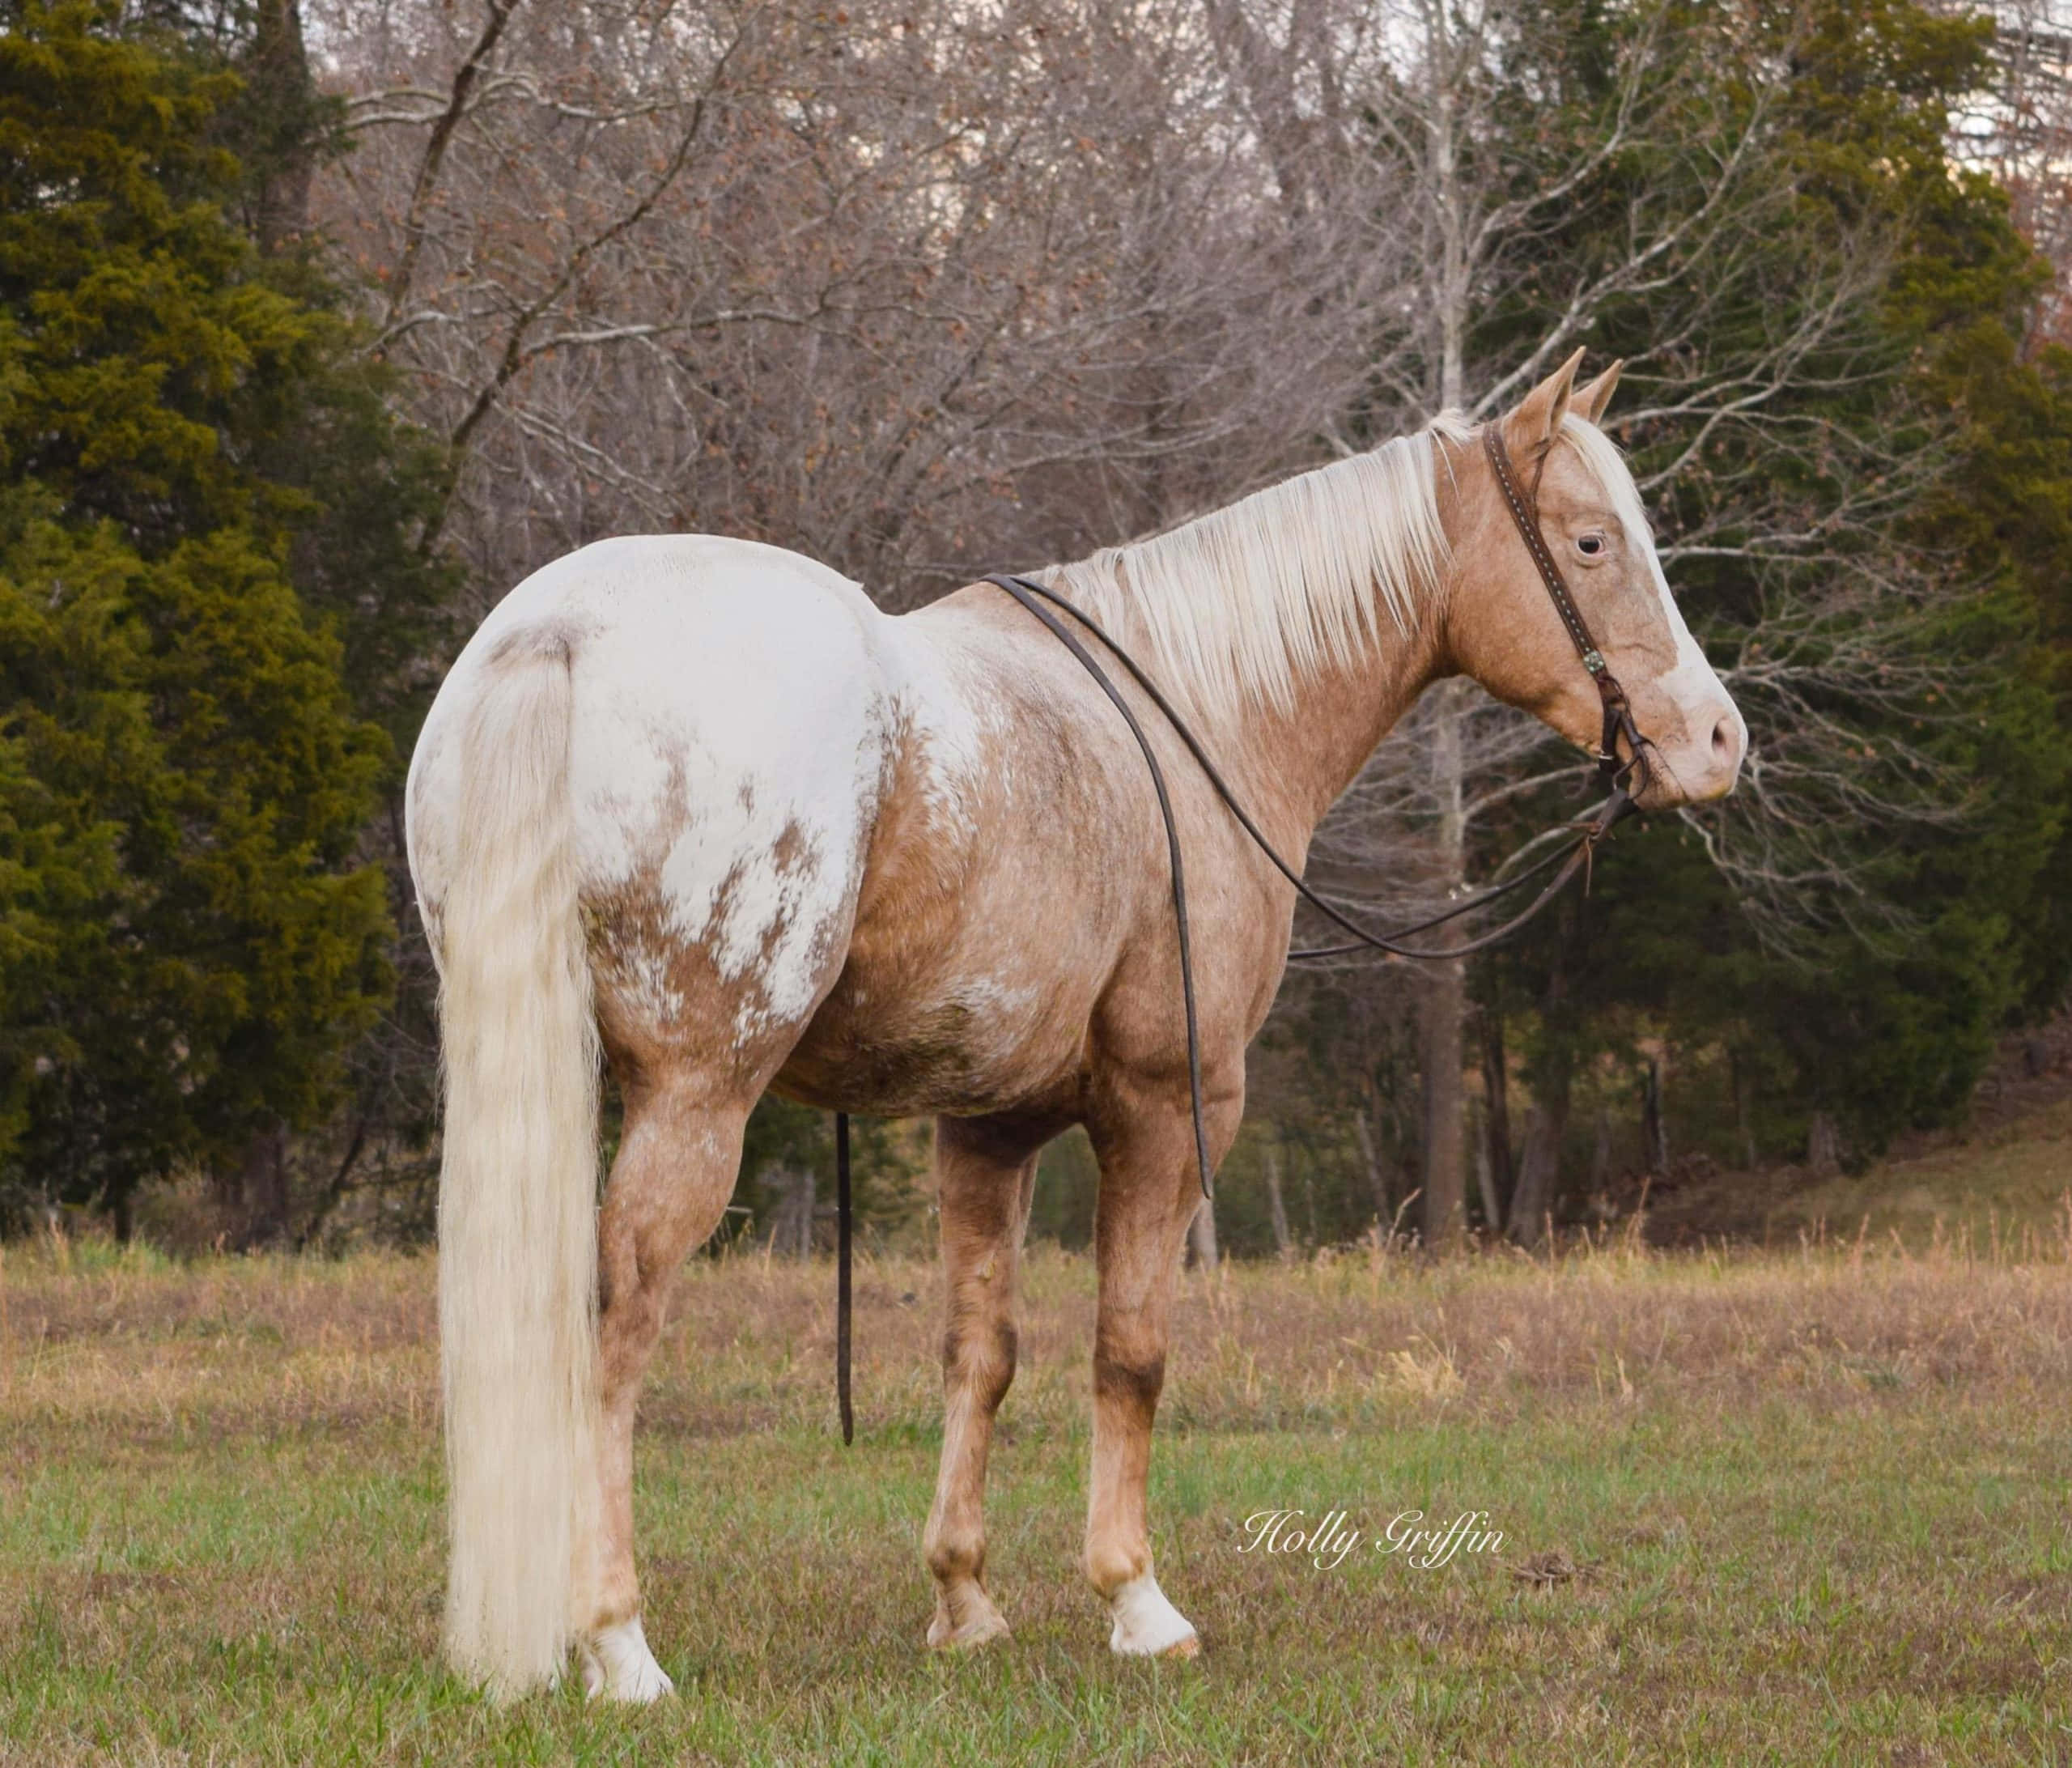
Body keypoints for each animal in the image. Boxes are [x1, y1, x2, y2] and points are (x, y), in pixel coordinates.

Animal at [404, 349, 1746, 1700]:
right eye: (1590, 541)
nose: (1716, 739)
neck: (1205, 715)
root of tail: (559, 632)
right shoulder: (1168, 1108)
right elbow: (1130, 1350)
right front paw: (1135, 1597)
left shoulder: (984, 1129)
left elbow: (980, 1354)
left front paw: (962, 1597)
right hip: (697, 1099)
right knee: (613, 1326)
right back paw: (618, 1643)